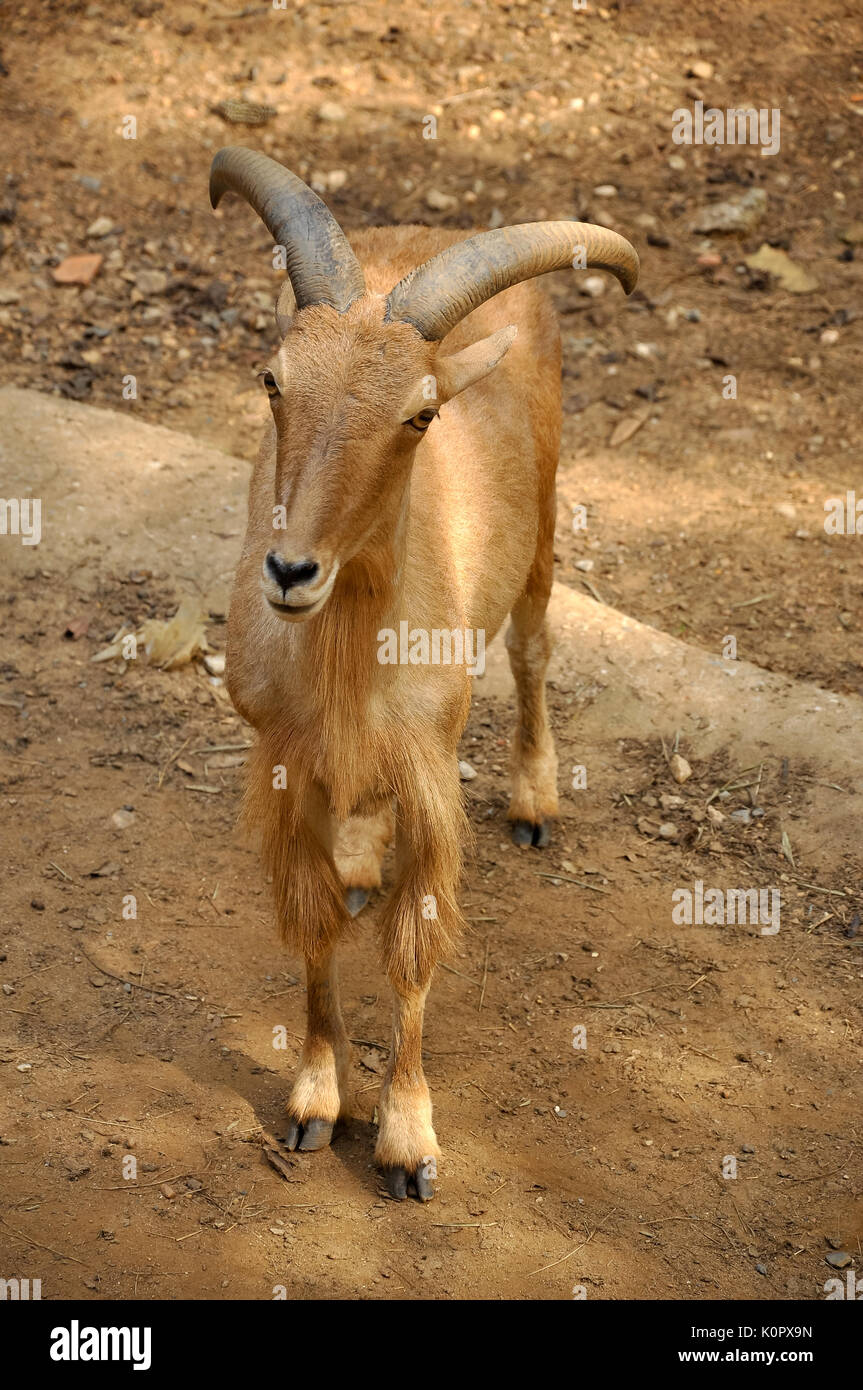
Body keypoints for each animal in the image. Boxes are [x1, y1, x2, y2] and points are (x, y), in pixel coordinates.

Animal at [211, 146, 636, 1200]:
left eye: (421, 414)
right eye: (272, 379)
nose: (290, 572)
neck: (347, 660)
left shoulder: (431, 771)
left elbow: (413, 947)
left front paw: (407, 1144)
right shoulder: (284, 763)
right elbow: (316, 927)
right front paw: (314, 1105)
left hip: (542, 530)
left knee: (532, 650)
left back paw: (533, 799)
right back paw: (364, 859)